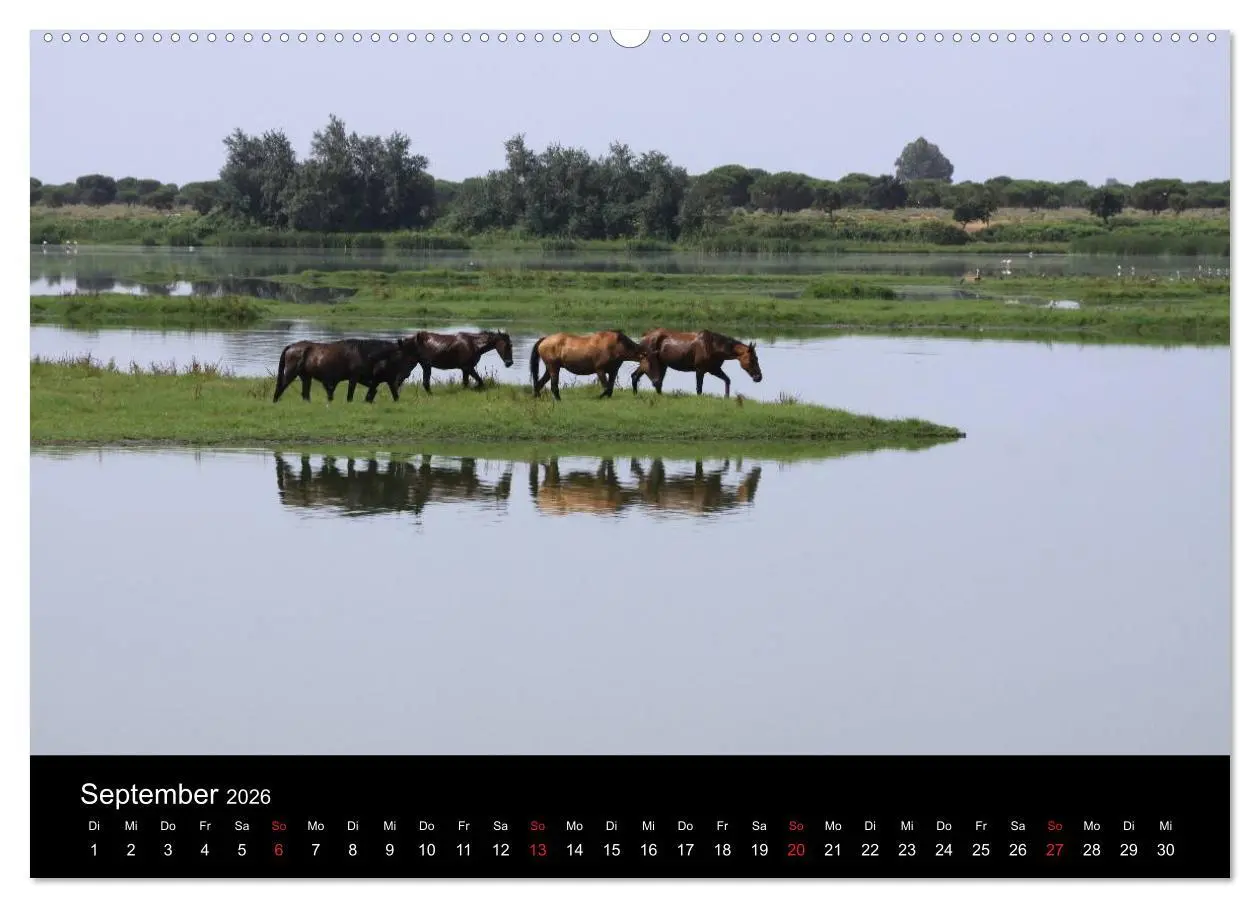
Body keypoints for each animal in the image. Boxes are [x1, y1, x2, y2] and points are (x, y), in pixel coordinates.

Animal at [272, 337, 422, 404]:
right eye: (405, 355)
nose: (407, 374)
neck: (366, 353)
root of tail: (292, 346)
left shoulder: (365, 379)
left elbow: (376, 389)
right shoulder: (354, 378)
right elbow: (350, 394)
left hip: (306, 377)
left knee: (305, 393)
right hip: (291, 373)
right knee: (281, 386)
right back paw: (275, 401)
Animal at [529, 330, 659, 400]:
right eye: (651, 363)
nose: (657, 382)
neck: (617, 346)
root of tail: (544, 339)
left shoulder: (613, 371)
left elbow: (610, 389)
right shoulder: (600, 370)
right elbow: (607, 388)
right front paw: (598, 397)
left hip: (550, 368)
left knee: (539, 383)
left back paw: (537, 396)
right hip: (554, 367)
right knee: (553, 386)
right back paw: (558, 399)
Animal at [629, 329, 762, 397]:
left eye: (757, 358)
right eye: (752, 359)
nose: (758, 377)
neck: (716, 348)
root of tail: (643, 337)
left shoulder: (714, 369)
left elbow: (727, 380)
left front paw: (726, 397)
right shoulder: (700, 369)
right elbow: (699, 389)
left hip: (661, 365)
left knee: (653, 381)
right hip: (650, 363)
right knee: (638, 376)